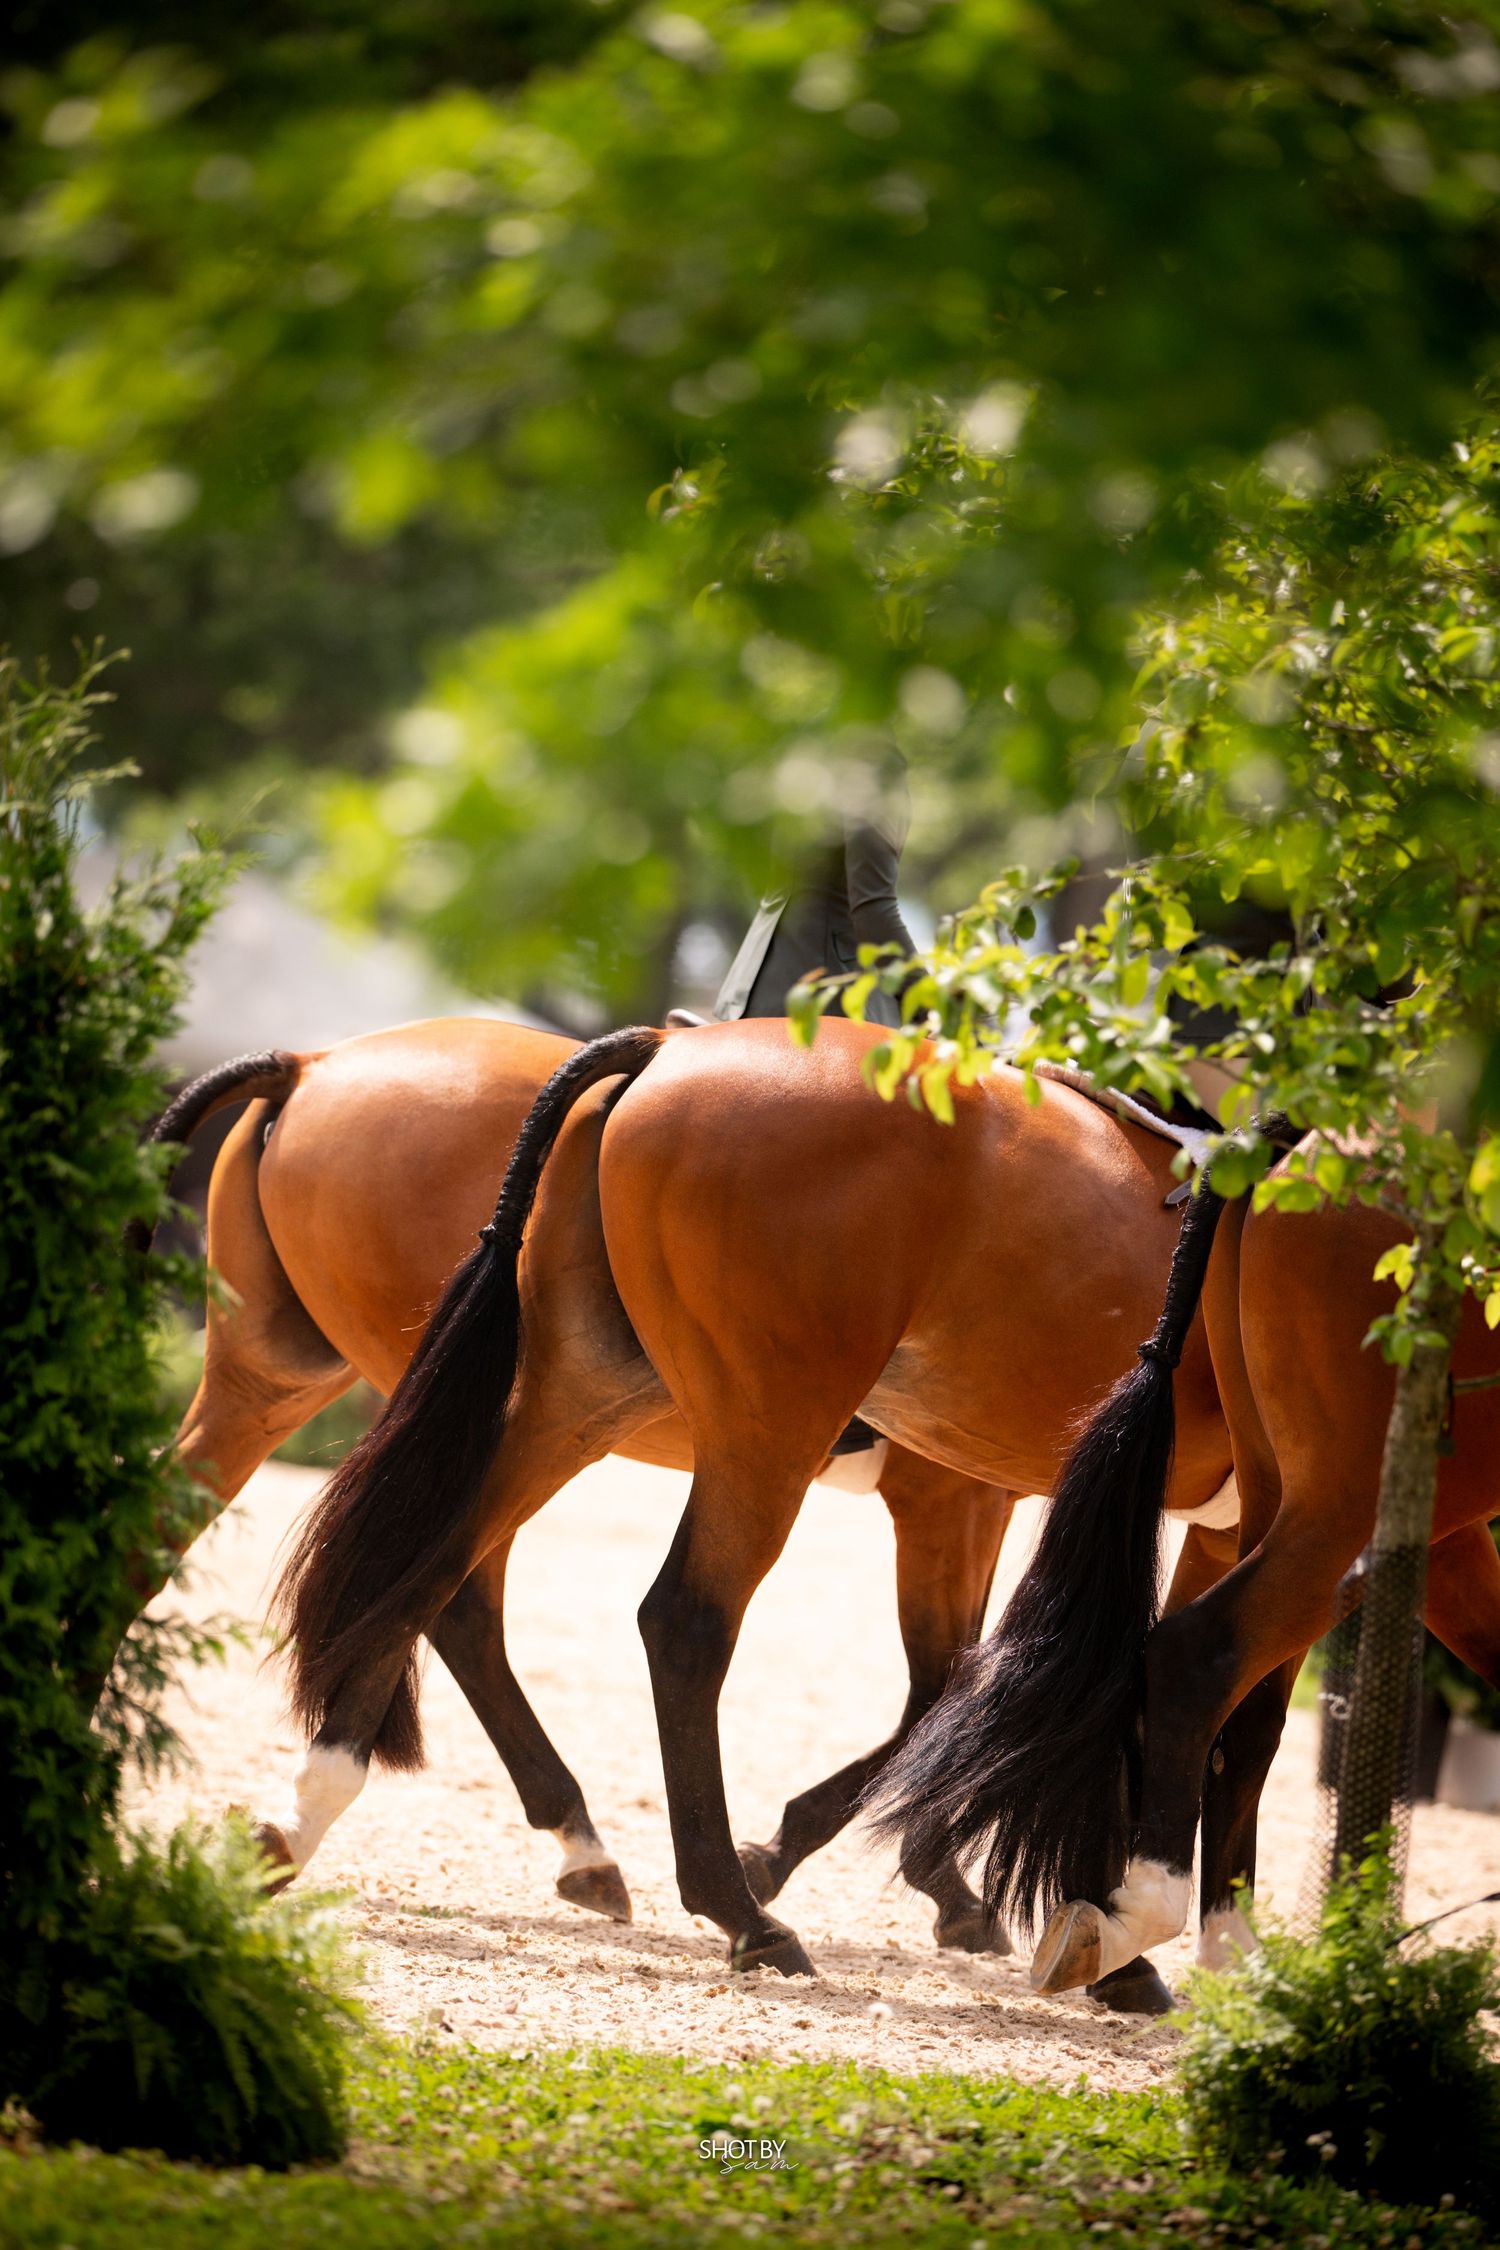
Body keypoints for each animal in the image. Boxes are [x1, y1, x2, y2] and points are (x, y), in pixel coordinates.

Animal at [146, 1016, 1017, 1949]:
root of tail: (312, 1066)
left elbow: (954, 1679)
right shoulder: (951, 1497)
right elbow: (955, 1681)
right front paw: (887, 1876)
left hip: (288, 1385)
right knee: (455, 1601)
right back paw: (591, 1845)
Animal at [267, 1015, 1264, 2005]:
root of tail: (663, 1052)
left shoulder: (1193, 1531)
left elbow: (1085, 1686)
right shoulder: (964, 1500)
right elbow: (1025, 1683)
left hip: (580, 1397)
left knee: (431, 1573)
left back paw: (319, 1804)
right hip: (770, 1428)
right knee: (682, 1622)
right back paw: (738, 1910)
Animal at [873, 1158, 1500, 1993]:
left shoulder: (1445, 1541)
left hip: (1293, 1497)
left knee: (1237, 1713)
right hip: (1347, 1509)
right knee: (1199, 1658)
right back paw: (1142, 1920)